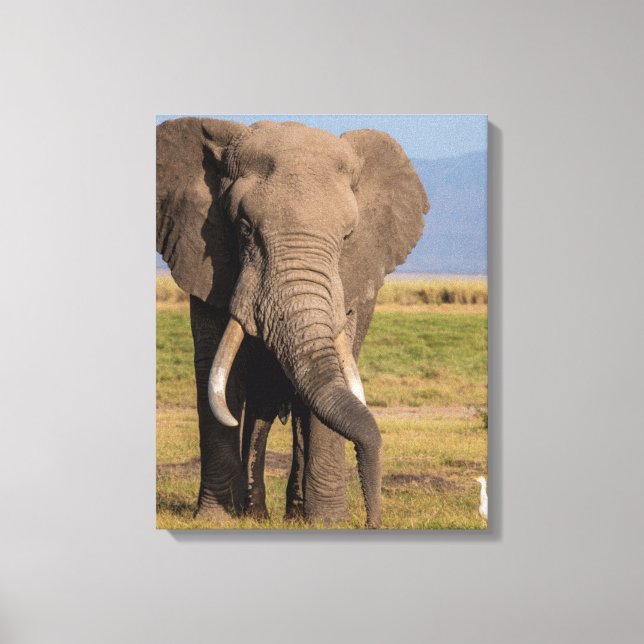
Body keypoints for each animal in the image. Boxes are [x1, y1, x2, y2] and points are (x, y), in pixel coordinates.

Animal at [157, 117, 429, 528]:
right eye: (244, 228)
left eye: (348, 236)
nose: (372, 522)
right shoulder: (205, 263)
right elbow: (217, 374)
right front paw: (215, 520)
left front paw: (329, 523)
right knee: (260, 407)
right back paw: (256, 512)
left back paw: (295, 513)